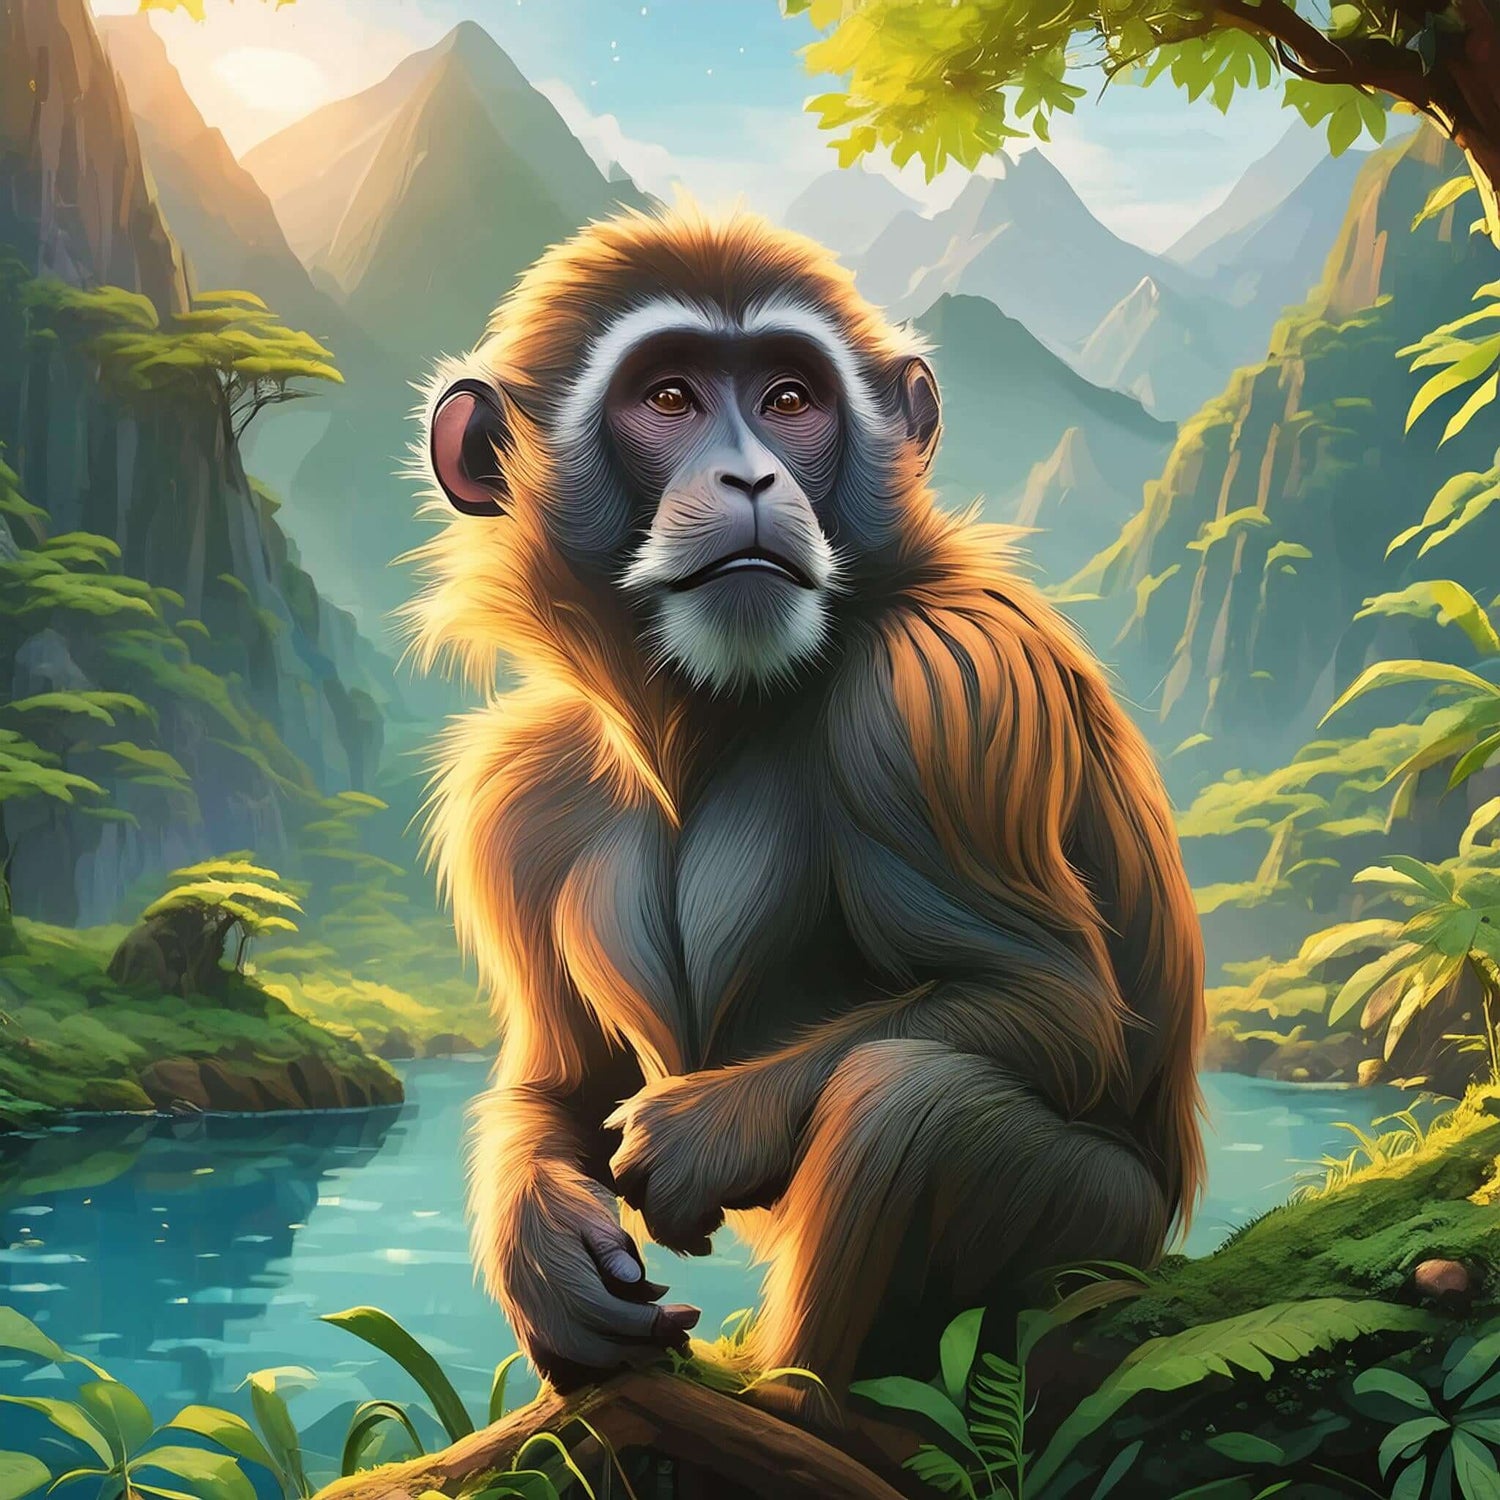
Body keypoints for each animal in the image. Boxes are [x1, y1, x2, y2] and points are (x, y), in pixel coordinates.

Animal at [406, 203, 1205, 1402]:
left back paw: (806, 1400)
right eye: (670, 397)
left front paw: (705, 1131)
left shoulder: (939, 691)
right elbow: (562, 1080)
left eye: (790, 400)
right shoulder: (515, 793)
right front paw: (547, 1251)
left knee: (910, 1100)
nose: (750, 479)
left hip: (1103, 1236)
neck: (702, 718)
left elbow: (1052, 1002)